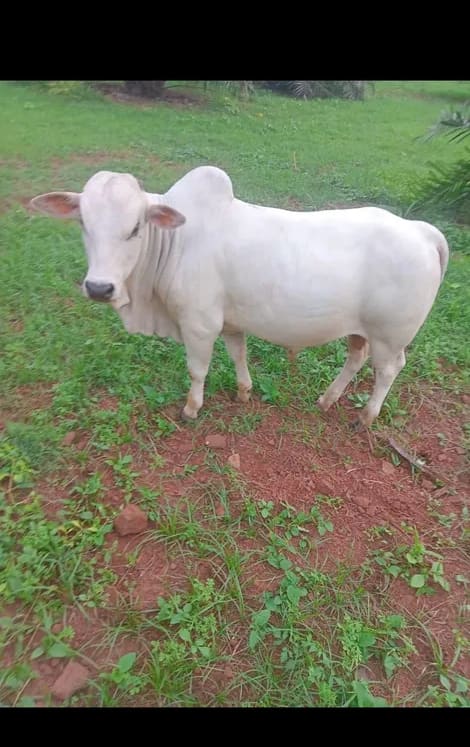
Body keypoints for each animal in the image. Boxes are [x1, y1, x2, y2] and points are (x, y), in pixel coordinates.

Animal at [29, 165, 449, 427]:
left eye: (135, 228)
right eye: (83, 222)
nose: (99, 287)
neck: (175, 241)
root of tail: (423, 231)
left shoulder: (198, 324)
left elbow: (197, 369)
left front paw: (191, 408)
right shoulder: (231, 321)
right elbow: (238, 355)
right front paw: (244, 392)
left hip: (390, 336)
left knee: (389, 370)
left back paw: (365, 416)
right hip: (361, 330)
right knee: (356, 358)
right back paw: (327, 399)